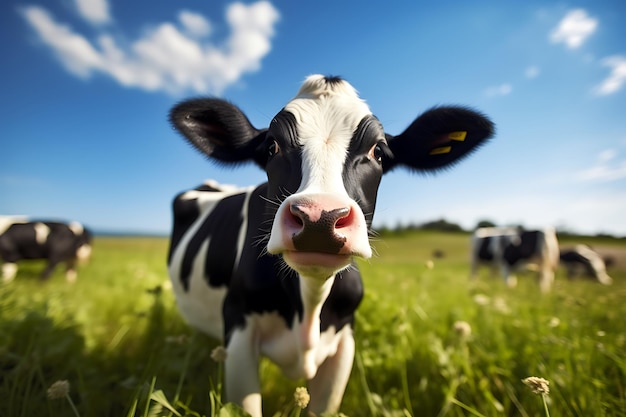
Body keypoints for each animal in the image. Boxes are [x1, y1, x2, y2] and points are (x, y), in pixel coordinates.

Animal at [168, 73, 494, 414]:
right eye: (272, 146)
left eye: (379, 152)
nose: (319, 218)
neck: (309, 305)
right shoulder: (239, 332)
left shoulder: (345, 340)